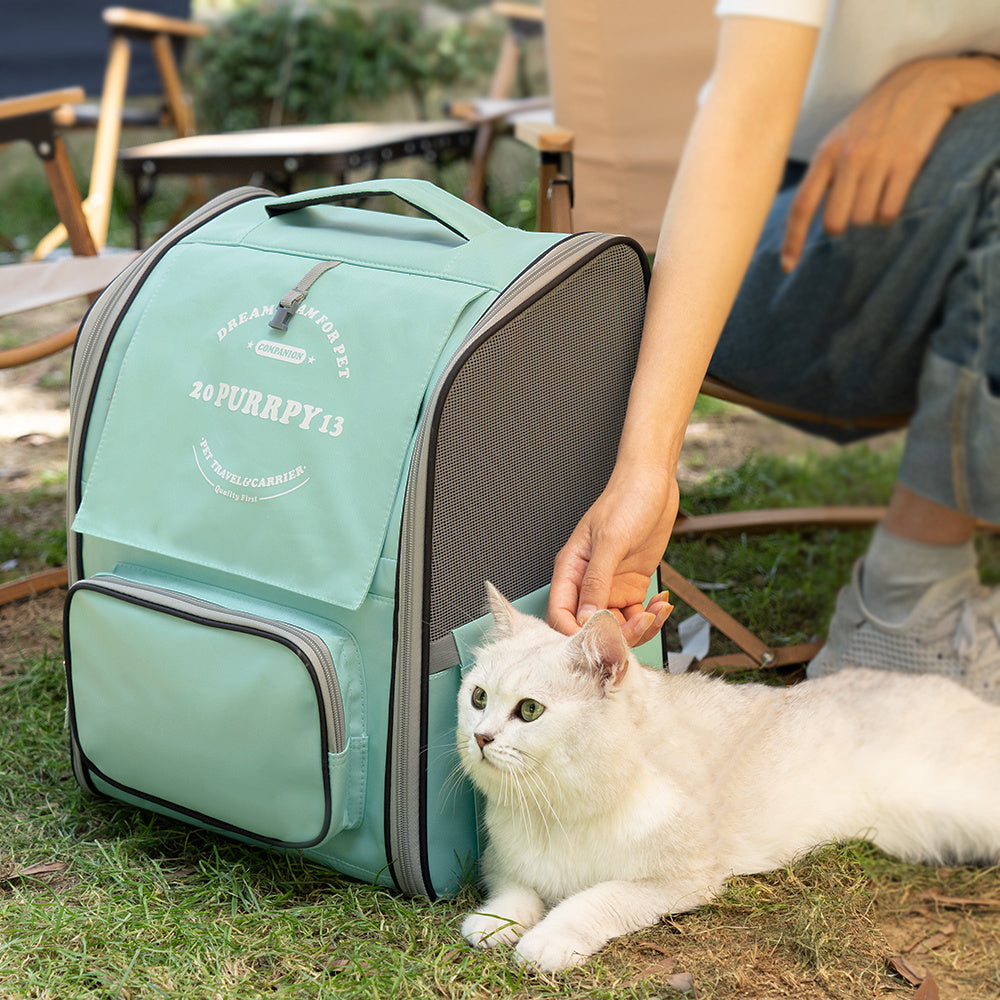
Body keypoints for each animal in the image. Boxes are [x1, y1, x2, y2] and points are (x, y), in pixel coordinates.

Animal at [458, 584, 1000, 968]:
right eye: (478, 697)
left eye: (530, 710)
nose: (480, 737)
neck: (556, 809)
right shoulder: (504, 862)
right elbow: (514, 890)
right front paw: (494, 922)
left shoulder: (678, 881)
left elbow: (595, 899)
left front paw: (547, 939)